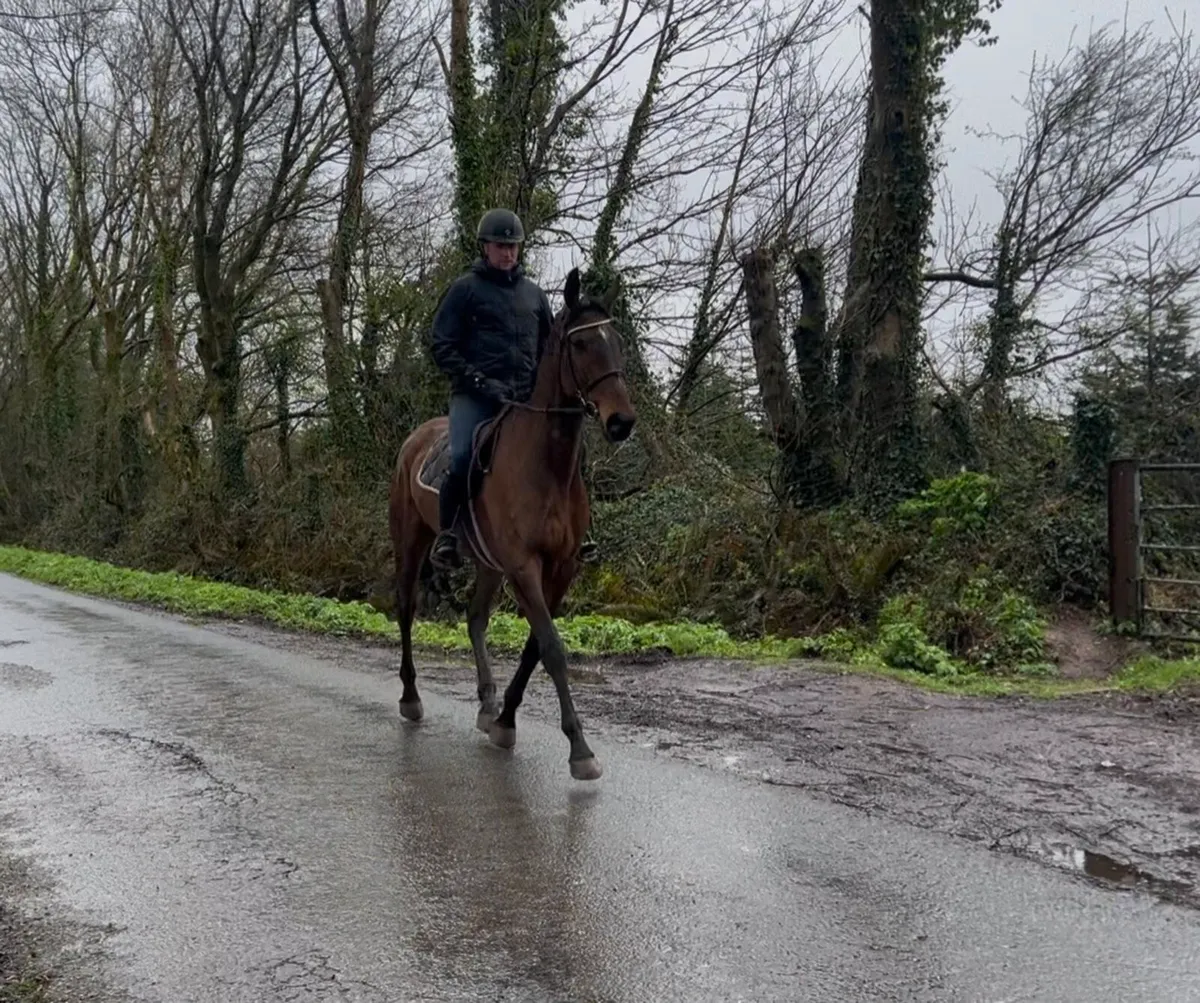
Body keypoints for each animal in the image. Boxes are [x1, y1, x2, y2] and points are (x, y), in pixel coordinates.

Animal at [388, 266, 636, 780]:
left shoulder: (561, 568)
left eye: (618, 342)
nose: (621, 421)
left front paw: (504, 720)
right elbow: (553, 648)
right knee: (405, 610)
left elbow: (536, 647)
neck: (548, 466)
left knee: (475, 617)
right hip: (412, 542)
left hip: (488, 564)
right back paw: (411, 697)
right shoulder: (525, 567)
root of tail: (414, 439)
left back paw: (485, 706)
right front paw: (580, 749)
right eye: (582, 344)